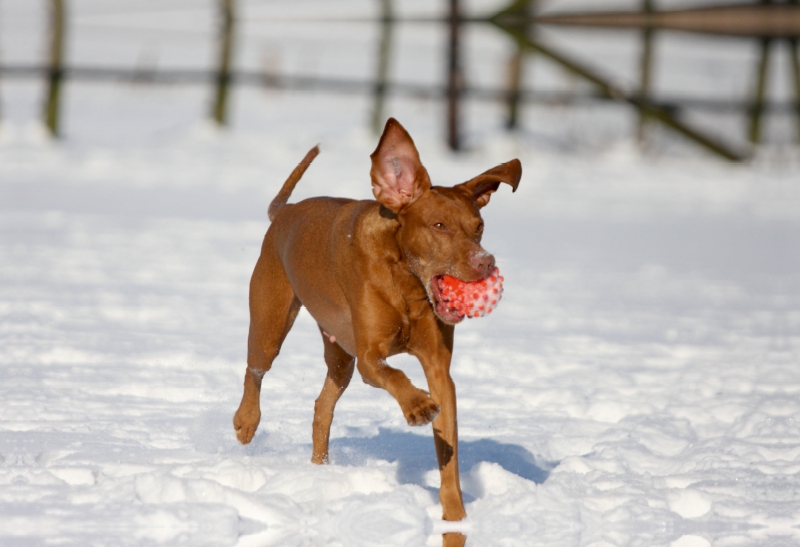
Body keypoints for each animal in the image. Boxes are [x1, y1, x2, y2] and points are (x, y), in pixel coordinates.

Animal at [233, 117, 520, 520]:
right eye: (439, 225)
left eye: (477, 226)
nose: (485, 263)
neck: (407, 284)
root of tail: (283, 212)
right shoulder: (370, 356)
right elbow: (394, 374)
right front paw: (417, 405)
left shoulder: (438, 369)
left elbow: (447, 448)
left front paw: (455, 517)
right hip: (270, 324)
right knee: (255, 370)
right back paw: (246, 422)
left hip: (340, 353)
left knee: (322, 405)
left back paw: (319, 471)